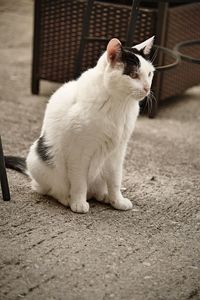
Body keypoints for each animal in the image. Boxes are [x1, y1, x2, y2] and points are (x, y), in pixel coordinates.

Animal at [5, 35, 155, 213]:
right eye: (133, 75)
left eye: (149, 74)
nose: (147, 88)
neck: (119, 105)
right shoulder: (79, 153)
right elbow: (79, 182)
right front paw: (78, 202)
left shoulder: (118, 151)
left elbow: (115, 180)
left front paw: (117, 201)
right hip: (39, 157)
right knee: (49, 189)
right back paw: (67, 198)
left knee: (97, 188)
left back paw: (104, 196)